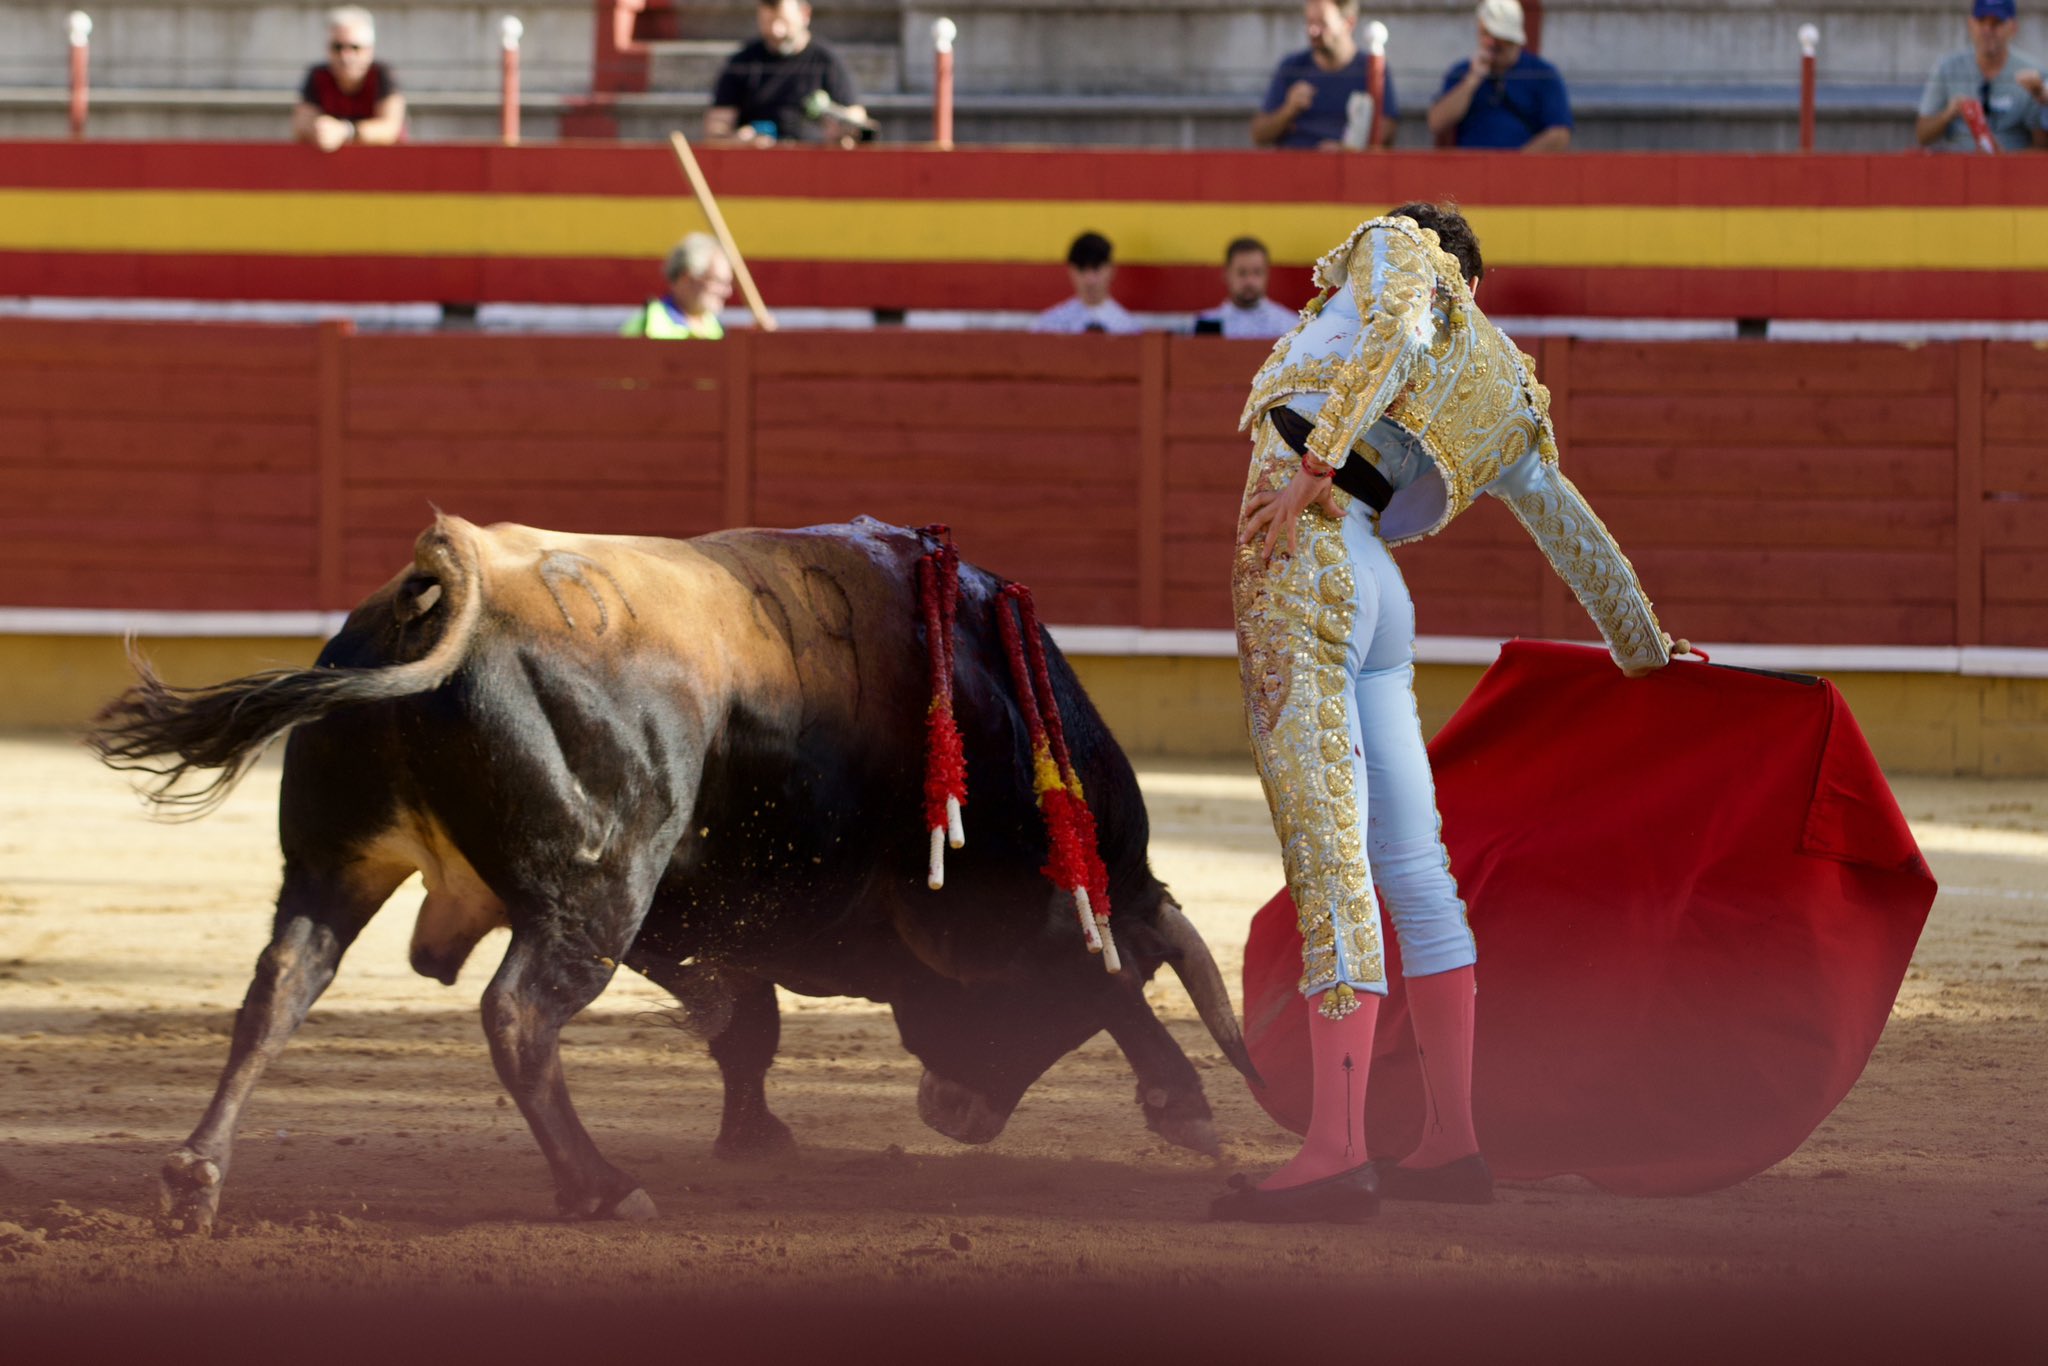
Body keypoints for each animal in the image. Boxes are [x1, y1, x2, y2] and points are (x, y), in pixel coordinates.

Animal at [91, 515, 1256, 1234]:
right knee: (517, 1015)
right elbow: (1108, 972)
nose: (950, 1113)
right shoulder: (993, 908)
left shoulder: (692, 916)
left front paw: (754, 1137)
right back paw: (602, 1190)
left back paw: (193, 1182)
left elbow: (745, 1021)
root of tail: (464, 573)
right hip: (596, 890)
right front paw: (1187, 1106)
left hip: (337, 866)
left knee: (278, 989)